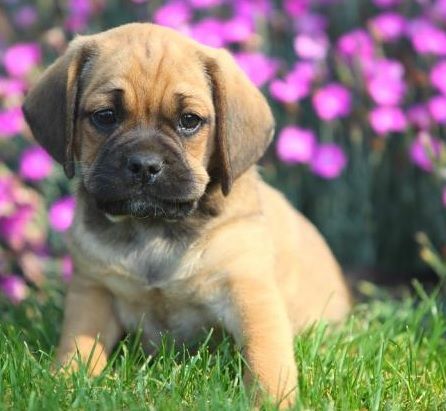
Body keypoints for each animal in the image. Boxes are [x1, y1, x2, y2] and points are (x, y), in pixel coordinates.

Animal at [23, 23, 352, 408]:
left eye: (189, 121)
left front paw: (271, 400)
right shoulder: (93, 291)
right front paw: (64, 383)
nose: (144, 165)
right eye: (105, 116)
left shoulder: (250, 293)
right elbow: (78, 344)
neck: (153, 229)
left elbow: (266, 356)